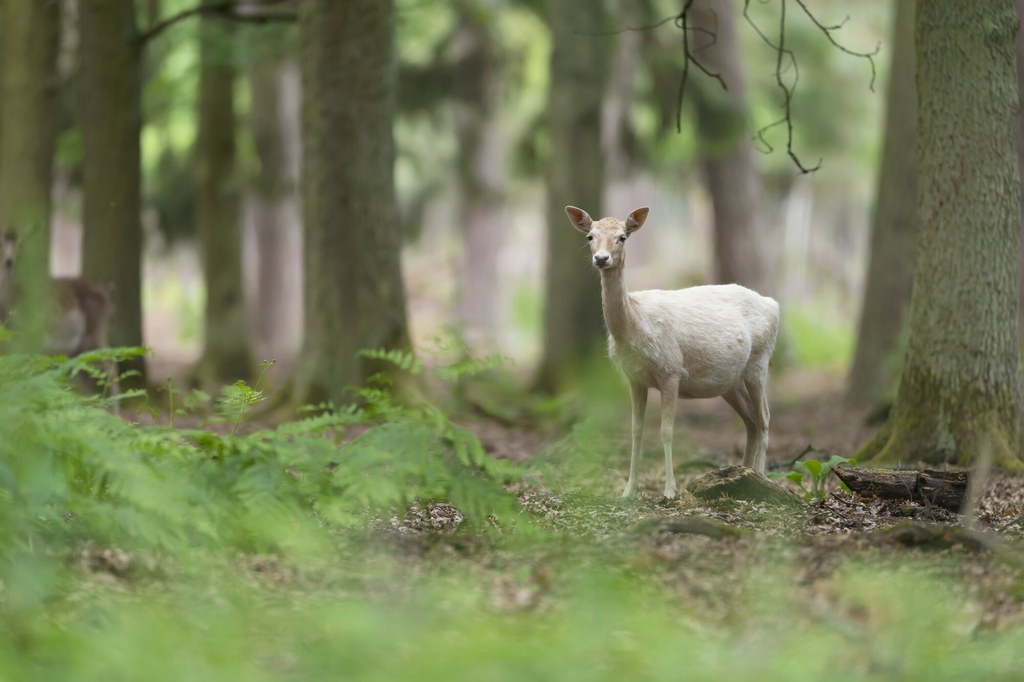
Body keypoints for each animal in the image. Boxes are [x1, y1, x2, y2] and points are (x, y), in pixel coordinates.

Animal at [0, 225, 119, 401]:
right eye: (0, 243)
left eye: (19, 245)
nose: (9, 260)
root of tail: (107, 291)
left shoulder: (35, 340)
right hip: (77, 349)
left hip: (97, 332)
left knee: (111, 367)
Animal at [569, 204, 774, 497]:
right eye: (590, 236)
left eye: (622, 237)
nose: (601, 258)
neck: (635, 325)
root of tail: (774, 304)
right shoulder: (634, 378)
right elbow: (636, 430)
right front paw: (628, 491)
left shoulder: (671, 370)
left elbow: (666, 431)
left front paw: (669, 491)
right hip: (729, 382)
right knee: (751, 421)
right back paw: (743, 473)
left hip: (760, 361)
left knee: (764, 417)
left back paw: (761, 476)